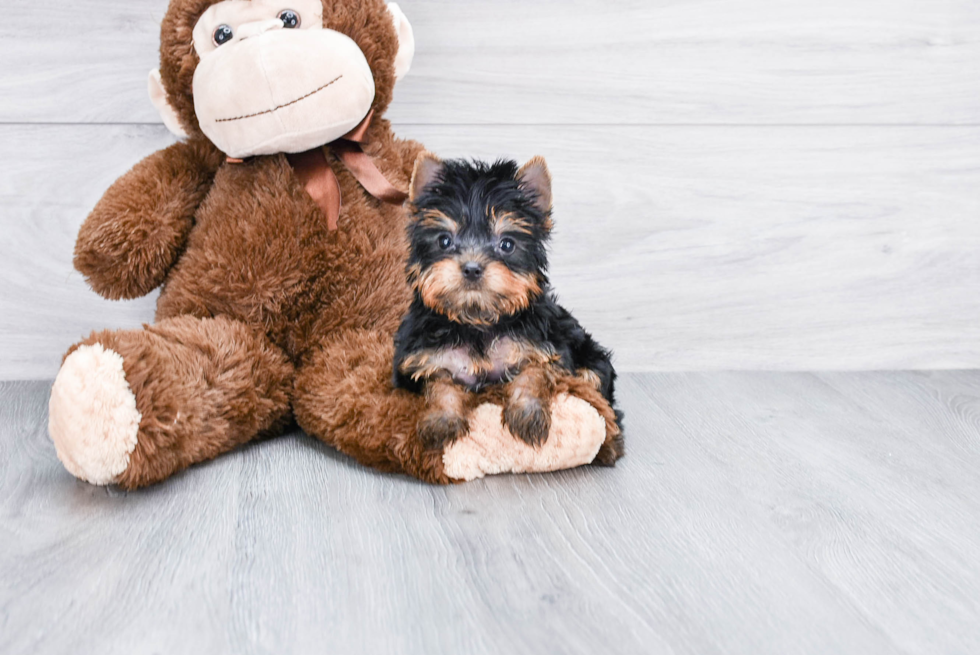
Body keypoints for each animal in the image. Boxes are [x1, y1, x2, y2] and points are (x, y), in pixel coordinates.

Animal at [390, 154, 620, 454]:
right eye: (444, 240)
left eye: (507, 244)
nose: (472, 268)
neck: (478, 320)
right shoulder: (425, 357)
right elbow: (439, 385)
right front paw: (441, 421)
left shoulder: (543, 346)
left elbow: (534, 372)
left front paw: (527, 415)